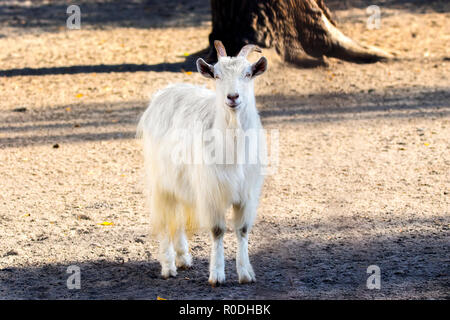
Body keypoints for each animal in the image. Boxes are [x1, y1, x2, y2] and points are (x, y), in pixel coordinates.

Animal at [136, 40, 268, 284]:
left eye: (247, 74)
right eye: (217, 75)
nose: (233, 97)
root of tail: (164, 92)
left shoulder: (247, 193)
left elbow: (242, 230)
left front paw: (245, 273)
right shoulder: (211, 191)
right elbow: (217, 230)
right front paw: (216, 275)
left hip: (181, 183)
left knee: (176, 219)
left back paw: (183, 258)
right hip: (161, 181)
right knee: (164, 219)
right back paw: (168, 266)